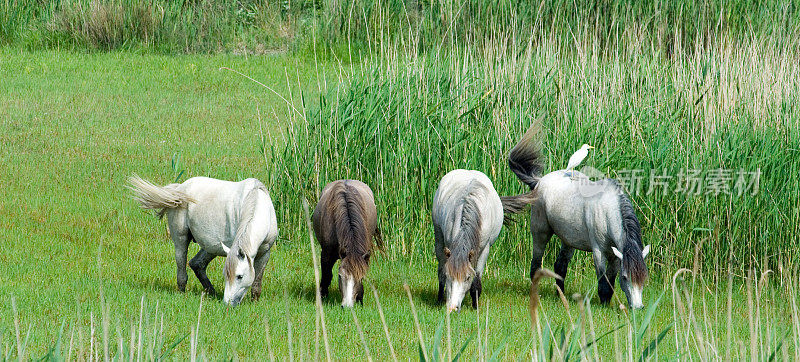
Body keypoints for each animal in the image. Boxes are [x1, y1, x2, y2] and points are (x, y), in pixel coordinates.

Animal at [127, 175, 278, 306]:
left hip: (211, 247)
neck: (257, 202)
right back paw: (183, 292)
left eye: (239, 276)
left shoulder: (264, 254)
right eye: (225, 275)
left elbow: (257, 282)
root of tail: (179, 189)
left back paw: (211, 292)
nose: (227, 303)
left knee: (197, 264)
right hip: (181, 240)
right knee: (182, 267)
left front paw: (255, 302)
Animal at [432, 170, 532, 312]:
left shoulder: (485, 249)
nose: (453, 308)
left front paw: (476, 305)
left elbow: (477, 277)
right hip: (438, 237)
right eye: (449, 276)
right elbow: (443, 271)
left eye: (467, 277)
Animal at [506, 126, 648, 308]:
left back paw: (560, 295)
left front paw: (607, 302)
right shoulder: (599, 252)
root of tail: (539, 181)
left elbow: (610, 280)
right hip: (540, 233)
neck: (607, 211)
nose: (638, 307)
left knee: (560, 266)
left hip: (568, 240)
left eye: (644, 277)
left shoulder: (615, 256)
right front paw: (603, 303)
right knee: (536, 265)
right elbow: (603, 281)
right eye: (625, 277)